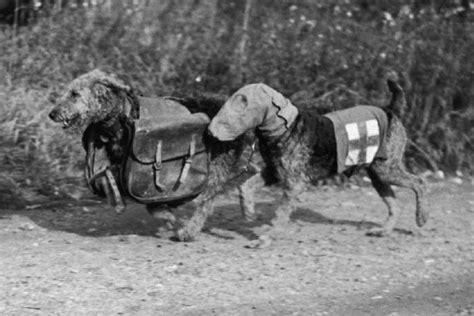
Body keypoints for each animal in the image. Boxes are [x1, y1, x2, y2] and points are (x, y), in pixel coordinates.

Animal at [49, 69, 258, 242]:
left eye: (75, 94)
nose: (52, 114)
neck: (120, 117)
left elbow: (157, 205)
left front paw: (173, 219)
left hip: (216, 165)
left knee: (210, 199)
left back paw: (189, 232)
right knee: (249, 172)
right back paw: (247, 207)